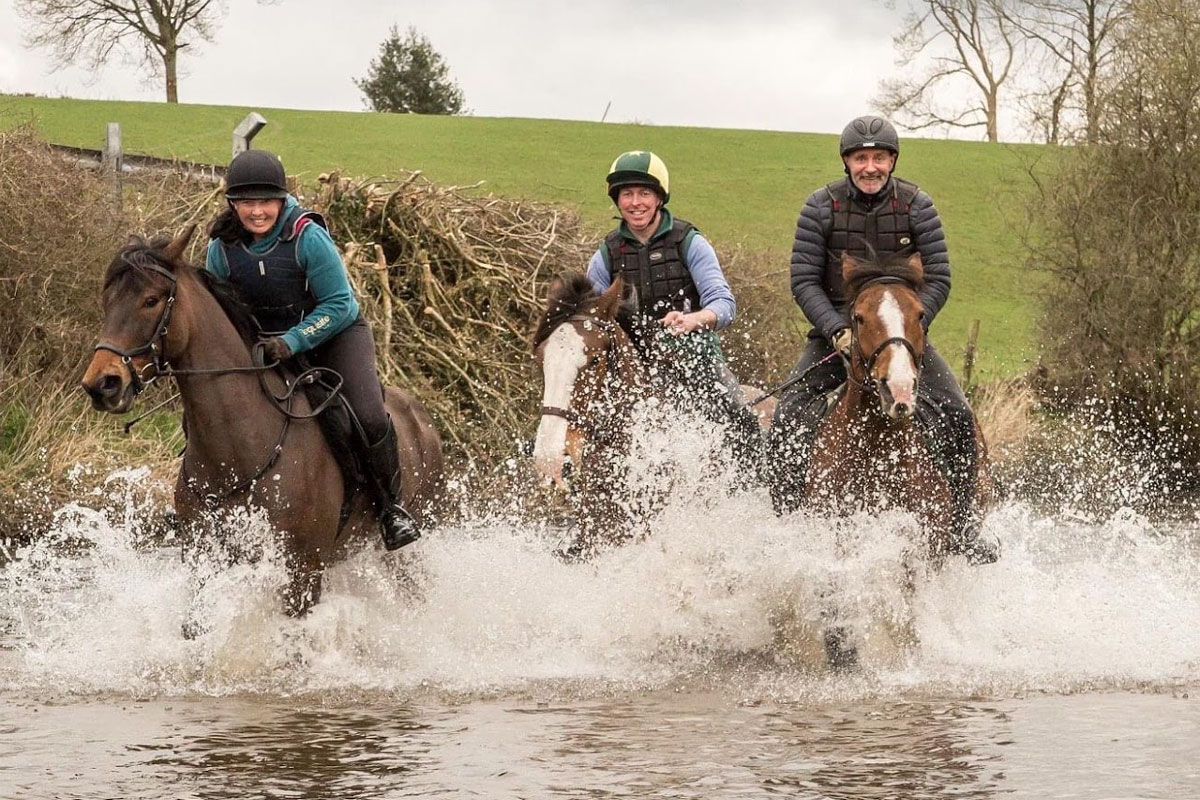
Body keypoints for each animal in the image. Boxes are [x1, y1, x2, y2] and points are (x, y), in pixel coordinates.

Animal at [81, 225, 446, 618]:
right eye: (107, 302)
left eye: (150, 300)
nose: (102, 384)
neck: (237, 448)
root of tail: (420, 414)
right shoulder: (204, 562)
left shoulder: (303, 571)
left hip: (414, 539)